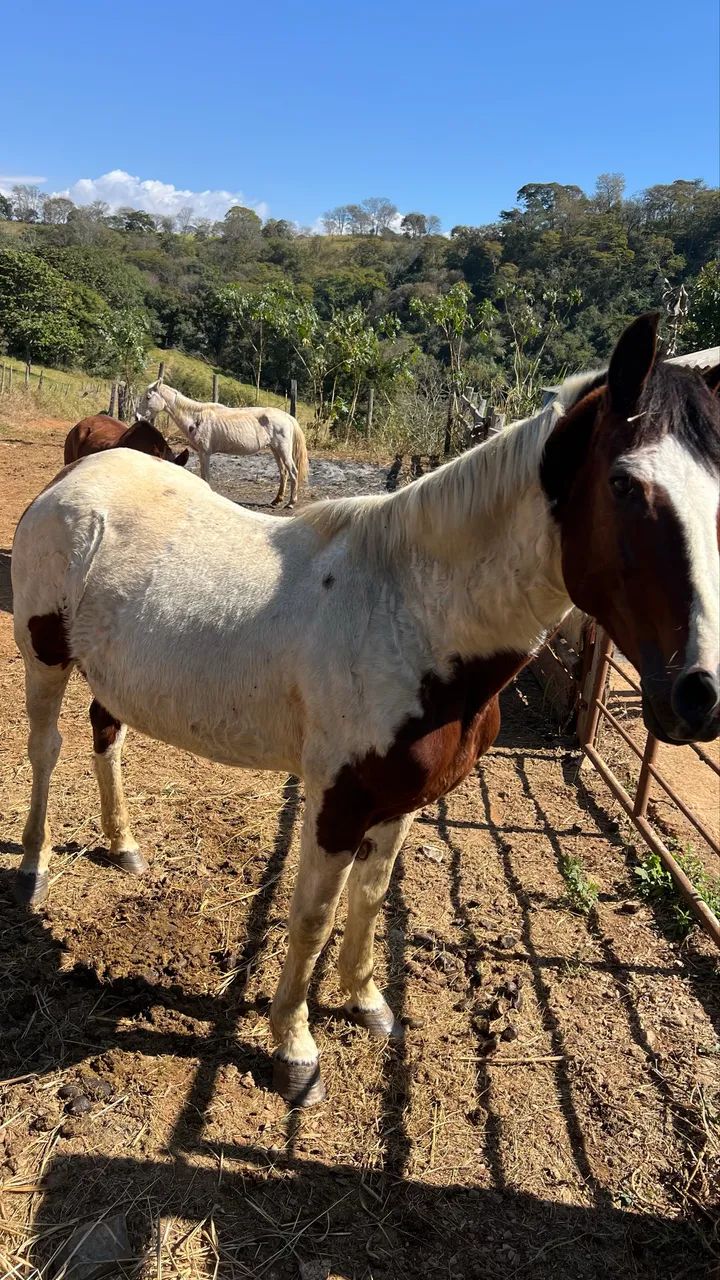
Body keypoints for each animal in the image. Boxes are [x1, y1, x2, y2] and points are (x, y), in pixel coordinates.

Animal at [138, 381, 309, 508]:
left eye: (148, 397)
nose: (137, 416)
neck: (195, 417)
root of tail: (287, 417)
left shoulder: (204, 453)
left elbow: (205, 476)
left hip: (283, 449)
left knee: (293, 472)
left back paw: (290, 503)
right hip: (275, 449)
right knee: (283, 473)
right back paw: (276, 500)